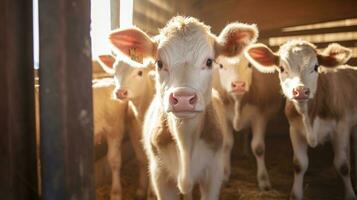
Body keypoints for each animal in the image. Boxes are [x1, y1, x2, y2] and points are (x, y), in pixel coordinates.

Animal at [94, 55, 156, 199]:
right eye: (115, 71)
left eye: (140, 72)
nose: (120, 92)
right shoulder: (134, 132)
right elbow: (141, 159)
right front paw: (141, 190)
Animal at [107, 16, 258, 199]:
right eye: (159, 63)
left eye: (209, 61)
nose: (183, 98)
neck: (185, 141)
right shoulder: (160, 175)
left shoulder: (214, 172)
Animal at [211, 54, 284, 190]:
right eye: (221, 66)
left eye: (250, 65)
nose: (238, 84)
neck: (238, 101)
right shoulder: (223, 115)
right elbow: (227, 144)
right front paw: (224, 174)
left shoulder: (260, 116)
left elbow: (258, 148)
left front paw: (263, 180)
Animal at [245, 39, 356, 199]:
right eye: (281, 68)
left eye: (316, 67)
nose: (301, 91)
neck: (308, 115)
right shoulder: (295, 130)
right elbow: (299, 165)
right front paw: (295, 194)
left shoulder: (341, 128)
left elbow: (343, 165)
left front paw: (350, 194)